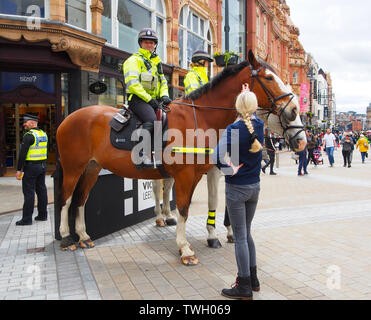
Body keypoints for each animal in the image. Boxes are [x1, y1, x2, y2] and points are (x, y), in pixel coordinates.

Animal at [54, 50, 306, 264]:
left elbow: (205, 204)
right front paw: (185, 248)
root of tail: (69, 117)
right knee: (66, 198)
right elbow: (183, 208)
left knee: (81, 199)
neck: (202, 118)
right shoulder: (186, 175)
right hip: (73, 167)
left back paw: (84, 236)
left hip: (92, 168)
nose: (294, 110)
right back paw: (66, 237)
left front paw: (212, 236)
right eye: (269, 77)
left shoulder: (204, 173)